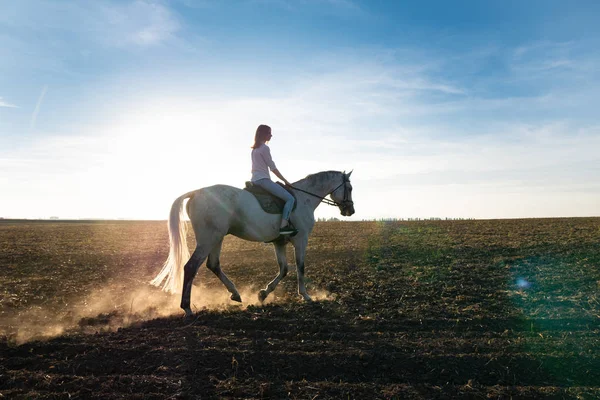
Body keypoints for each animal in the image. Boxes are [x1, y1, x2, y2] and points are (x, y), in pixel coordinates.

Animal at [152, 169, 354, 316]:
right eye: (350, 188)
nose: (350, 210)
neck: (304, 199)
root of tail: (196, 193)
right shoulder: (301, 240)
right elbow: (300, 266)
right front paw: (305, 295)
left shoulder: (279, 243)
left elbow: (284, 269)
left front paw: (263, 293)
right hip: (208, 239)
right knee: (191, 267)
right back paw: (187, 308)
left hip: (217, 238)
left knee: (213, 264)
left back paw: (235, 294)